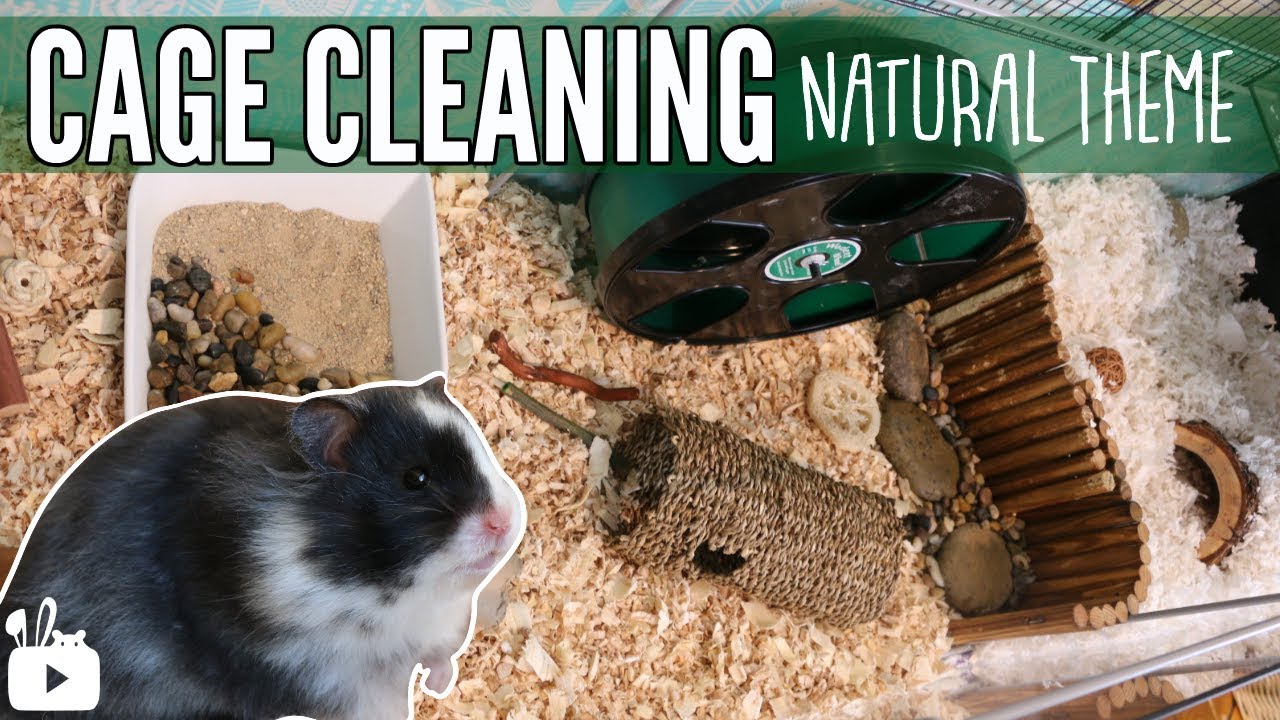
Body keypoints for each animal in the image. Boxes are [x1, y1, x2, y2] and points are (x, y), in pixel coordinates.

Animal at [0, 375, 525, 720]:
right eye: (415, 479)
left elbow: (439, 654)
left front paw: (440, 683)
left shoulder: (438, 626)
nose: (505, 521)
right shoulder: (325, 679)